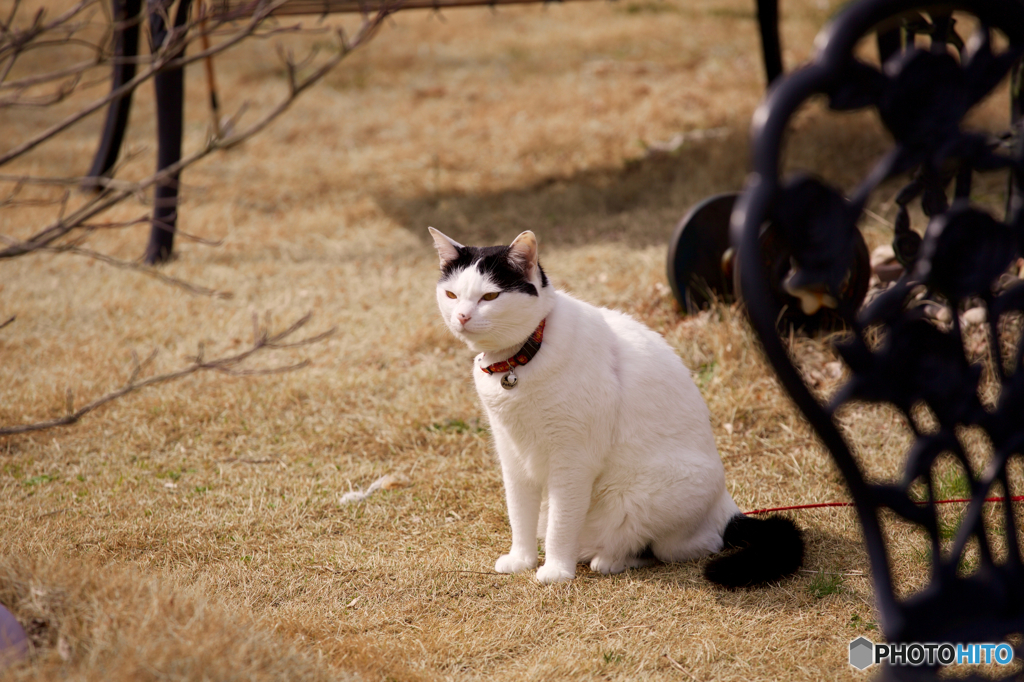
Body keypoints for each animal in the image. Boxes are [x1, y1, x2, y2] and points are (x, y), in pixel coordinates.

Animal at [428, 228, 802, 585]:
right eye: (452, 295)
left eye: (490, 297)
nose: (462, 316)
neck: (517, 363)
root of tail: (729, 510)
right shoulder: (512, 454)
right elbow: (519, 513)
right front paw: (521, 560)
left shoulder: (572, 461)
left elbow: (561, 523)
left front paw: (556, 570)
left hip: (649, 498)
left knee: (677, 547)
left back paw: (609, 560)